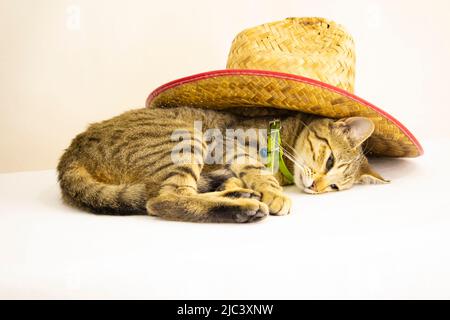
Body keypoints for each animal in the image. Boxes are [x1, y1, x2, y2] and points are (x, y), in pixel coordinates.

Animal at [56, 107, 386, 222]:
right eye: (329, 160)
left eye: (334, 187)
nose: (317, 188)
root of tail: (73, 149)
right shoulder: (225, 142)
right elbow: (256, 169)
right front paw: (273, 192)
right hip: (185, 140)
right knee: (165, 199)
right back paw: (243, 207)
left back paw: (238, 196)